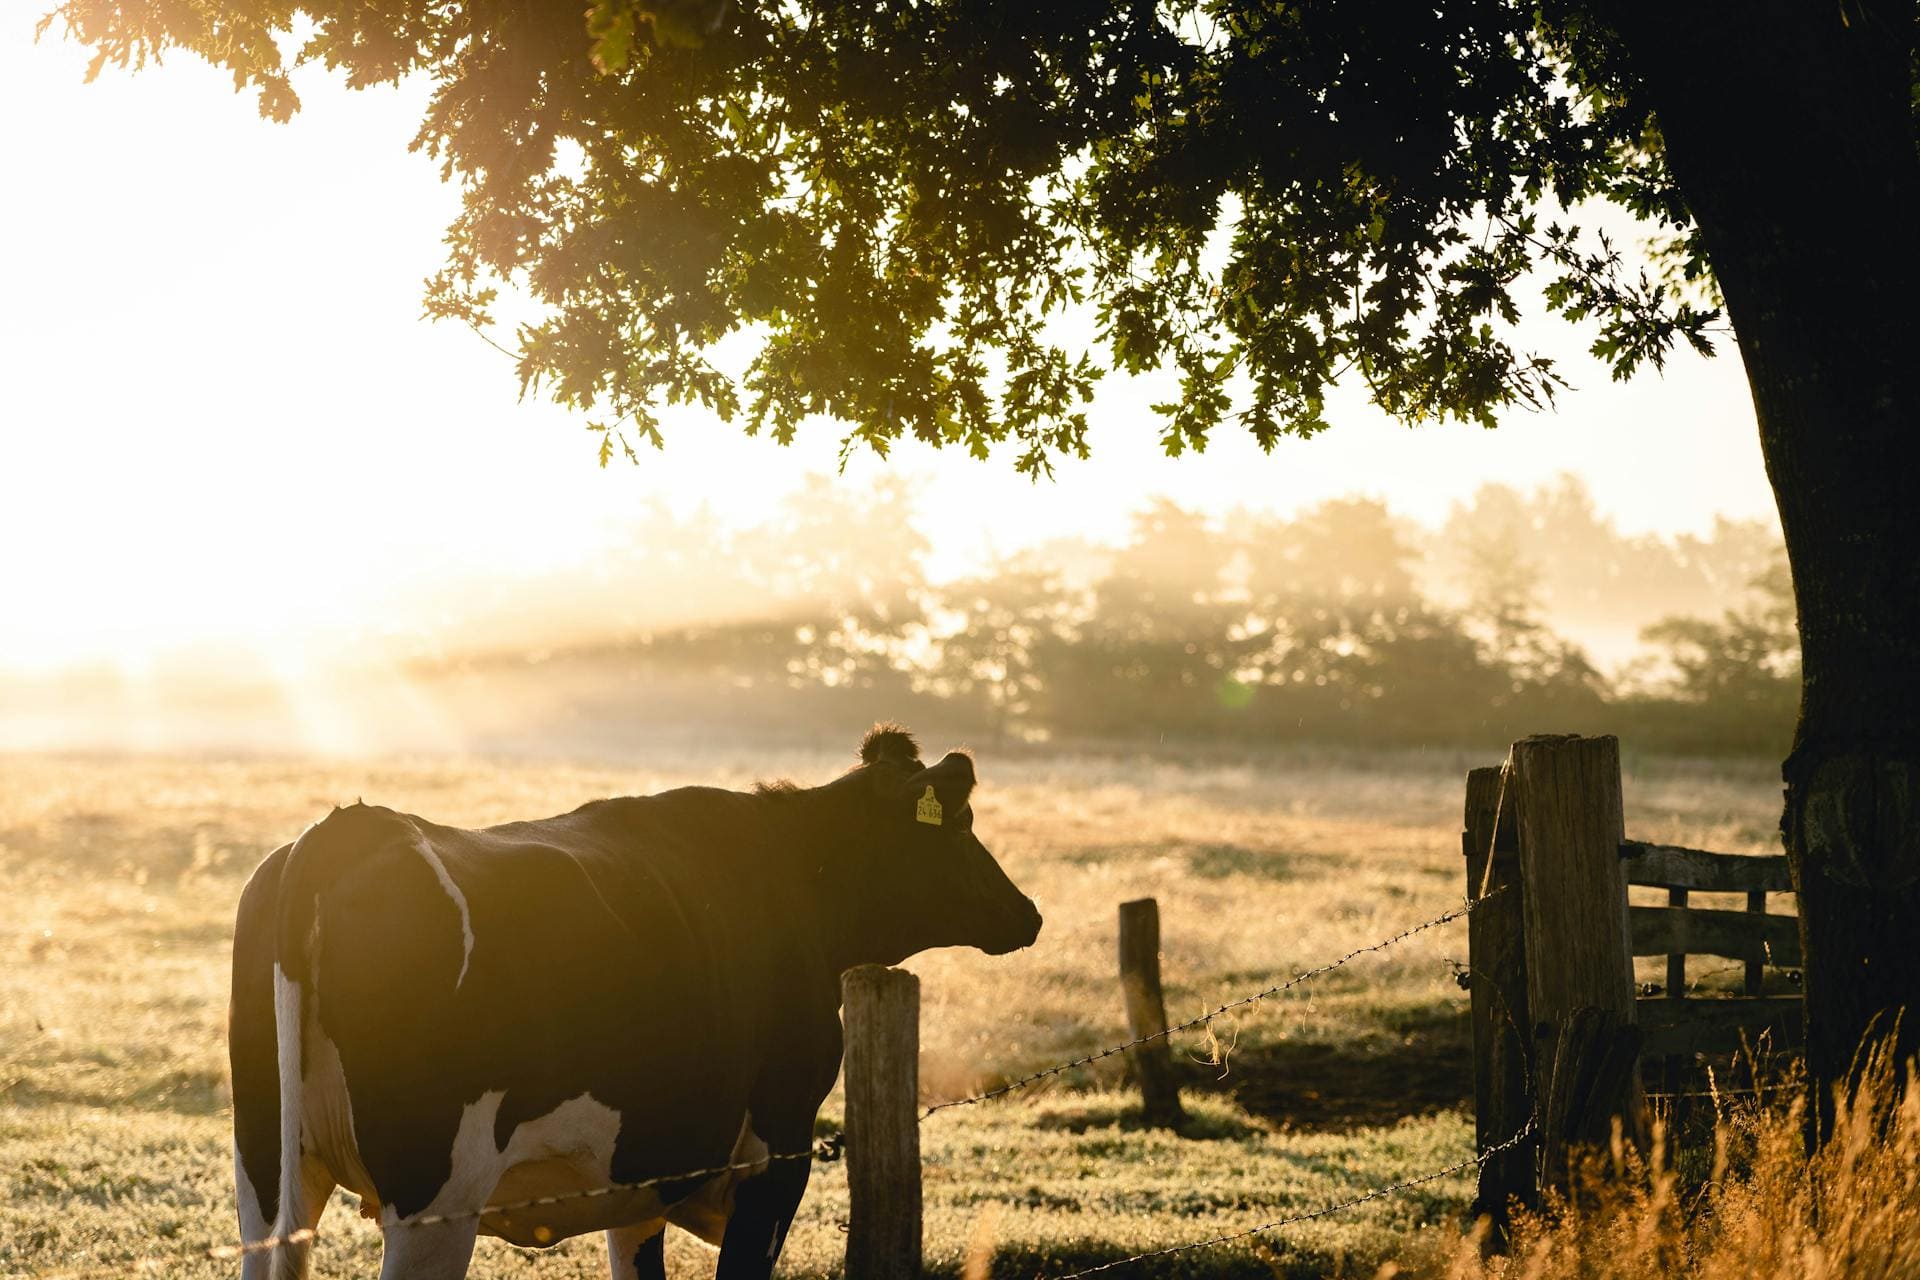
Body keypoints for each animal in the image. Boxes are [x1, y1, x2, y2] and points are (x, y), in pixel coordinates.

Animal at [230, 725, 1044, 1274]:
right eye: (962, 824)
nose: (1028, 913)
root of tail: (349, 828)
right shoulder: (776, 1153)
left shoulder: (642, 1175)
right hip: (434, 1198)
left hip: (268, 1175)